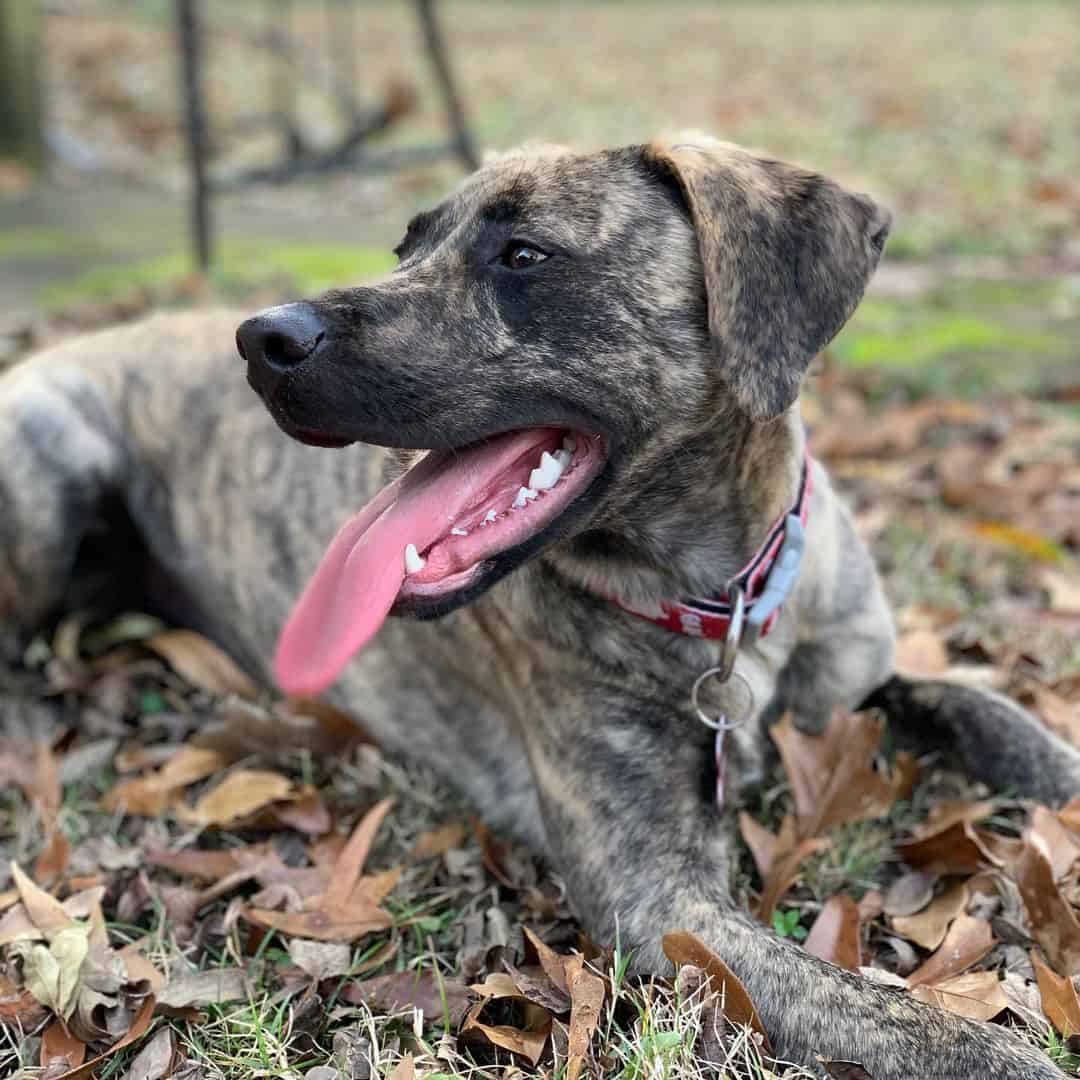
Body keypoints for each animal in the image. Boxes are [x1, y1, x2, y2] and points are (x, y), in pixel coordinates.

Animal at [2, 137, 1080, 1080]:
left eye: (523, 255)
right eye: (407, 248)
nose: (262, 339)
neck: (722, 597)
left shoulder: (857, 684)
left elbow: (996, 717)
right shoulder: (659, 898)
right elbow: (881, 1012)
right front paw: (998, 1056)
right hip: (46, 474)